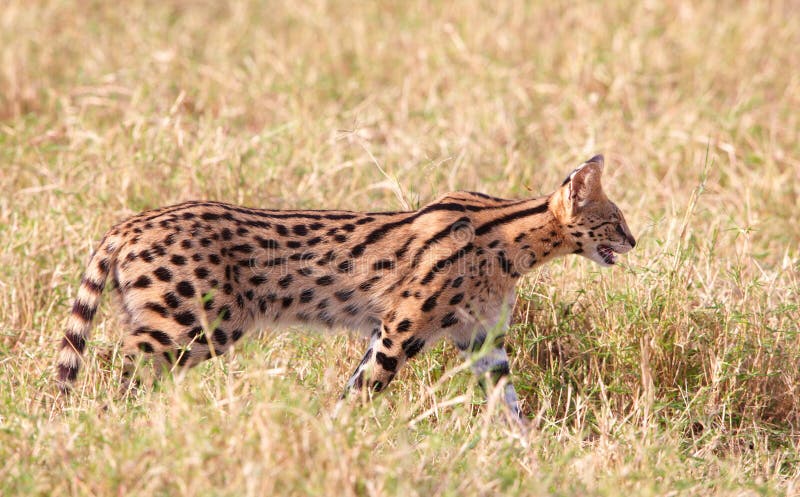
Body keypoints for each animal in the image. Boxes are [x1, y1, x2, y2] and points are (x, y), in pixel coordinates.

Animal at [56, 154, 636, 418]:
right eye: (614, 219)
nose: (634, 240)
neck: (511, 242)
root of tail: (130, 223)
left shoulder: (482, 342)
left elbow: (510, 408)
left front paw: (532, 458)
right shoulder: (401, 327)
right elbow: (364, 390)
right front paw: (339, 433)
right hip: (190, 325)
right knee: (115, 366)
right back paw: (101, 422)